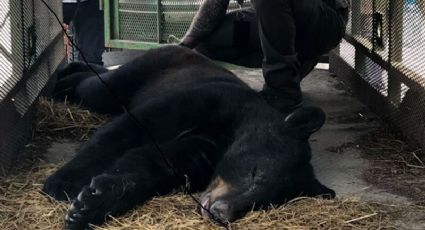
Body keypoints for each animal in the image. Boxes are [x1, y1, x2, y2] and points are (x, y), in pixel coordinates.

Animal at [43, 44, 334, 228]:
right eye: (256, 172)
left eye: (265, 204)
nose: (221, 213)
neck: (228, 134)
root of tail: (180, 46)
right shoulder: (203, 101)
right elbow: (125, 132)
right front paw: (61, 185)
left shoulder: (202, 152)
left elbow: (152, 164)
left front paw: (89, 204)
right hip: (144, 72)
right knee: (95, 88)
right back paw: (64, 76)